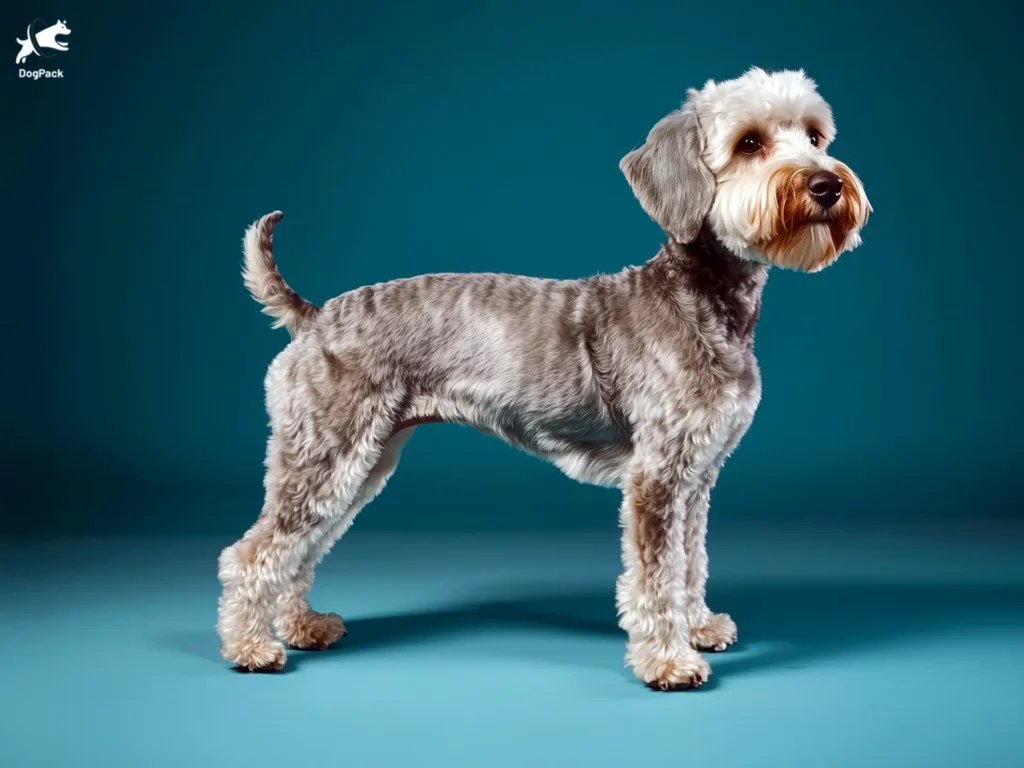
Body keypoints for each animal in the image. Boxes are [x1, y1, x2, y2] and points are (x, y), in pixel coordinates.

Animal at [218, 67, 872, 692]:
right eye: (749, 142)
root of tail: (314, 315)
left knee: (302, 547)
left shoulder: (698, 477)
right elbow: (657, 577)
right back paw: (251, 647)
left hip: (362, 462)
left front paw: (700, 627)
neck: (705, 301)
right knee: (254, 551)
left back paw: (302, 625)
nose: (827, 184)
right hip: (326, 455)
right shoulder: (658, 478)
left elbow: (691, 563)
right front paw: (668, 660)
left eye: (816, 136)